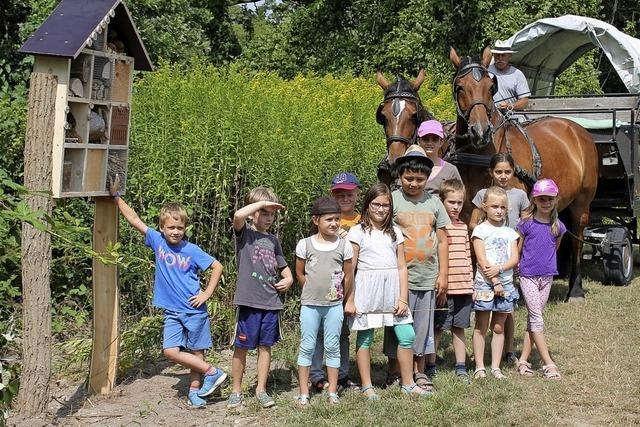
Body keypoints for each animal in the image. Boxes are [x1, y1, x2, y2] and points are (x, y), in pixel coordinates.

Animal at [450, 46, 600, 300]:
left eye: (490, 86)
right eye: (460, 87)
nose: (480, 131)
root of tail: (578, 130)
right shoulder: (469, 208)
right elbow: (474, 242)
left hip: (582, 201)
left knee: (578, 239)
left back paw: (575, 289)